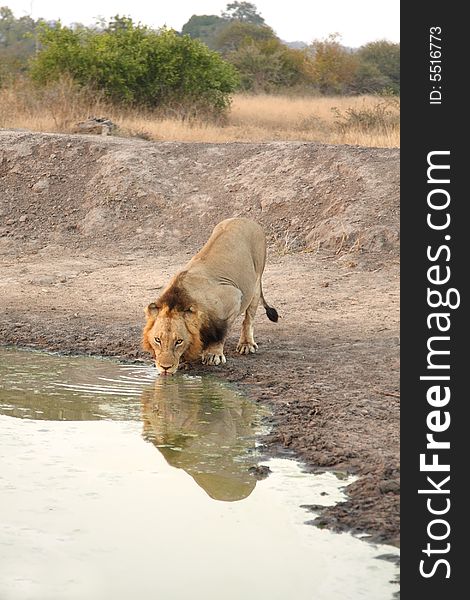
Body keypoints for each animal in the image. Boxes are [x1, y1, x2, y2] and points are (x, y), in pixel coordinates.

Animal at [141, 218, 278, 372]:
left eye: (178, 341)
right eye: (157, 340)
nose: (165, 368)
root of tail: (246, 219)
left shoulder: (233, 297)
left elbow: (220, 333)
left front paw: (213, 355)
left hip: (255, 281)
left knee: (249, 318)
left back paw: (246, 344)